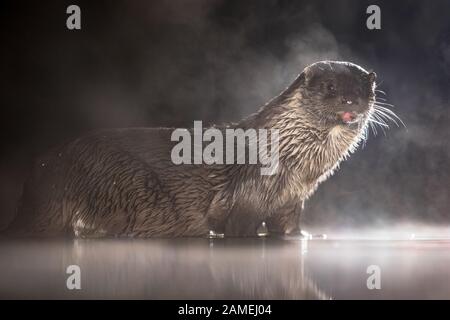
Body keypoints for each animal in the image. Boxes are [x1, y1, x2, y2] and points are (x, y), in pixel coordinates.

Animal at [7, 62, 388, 238]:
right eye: (331, 86)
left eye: (364, 89)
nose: (350, 100)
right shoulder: (244, 195)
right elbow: (237, 226)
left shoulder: (292, 200)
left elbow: (289, 227)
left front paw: (305, 236)